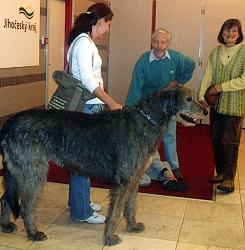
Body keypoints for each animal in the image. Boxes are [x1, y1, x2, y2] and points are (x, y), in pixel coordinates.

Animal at [0, 86, 208, 246]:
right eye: (189, 99)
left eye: (195, 96)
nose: (206, 112)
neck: (146, 119)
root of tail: (9, 123)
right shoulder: (122, 181)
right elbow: (115, 213)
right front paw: (109, 238)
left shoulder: (134, 178)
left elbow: (131, 206)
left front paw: (132, 226)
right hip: (34, 173)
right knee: (26, 206)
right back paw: (33, 233)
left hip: (17, 172)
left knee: (5, 198)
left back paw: (5, 225)